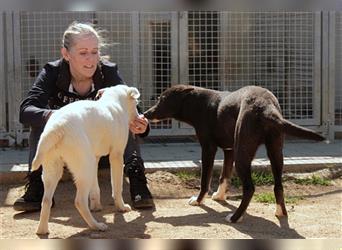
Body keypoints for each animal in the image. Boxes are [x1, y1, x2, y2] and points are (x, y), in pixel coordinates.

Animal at [31, 84, 140, 234]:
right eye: (136, 103)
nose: (140, 116)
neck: (114, 101)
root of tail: (57, 127)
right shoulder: (116, 156)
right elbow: (117, 186)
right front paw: (121, 207)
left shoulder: (95, 158)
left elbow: (95, 188)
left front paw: (96, 206)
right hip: (84, 168)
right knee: (79, 201)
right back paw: (96, 226)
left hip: (54, 170)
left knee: (46, 200)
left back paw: (42, 230)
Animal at [143, 84, 324, 223]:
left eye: (162, 99)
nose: (145, 114)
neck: (198, 104)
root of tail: (266, 107)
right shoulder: (229, 150)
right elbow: (224, 175)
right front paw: (219, 196)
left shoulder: (208, 148)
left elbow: (205, 180)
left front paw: (199, 200)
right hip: (275, 151)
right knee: (278, 185)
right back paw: (281, 212)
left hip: (242, 154)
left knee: (249, 188)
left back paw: (235, 217)